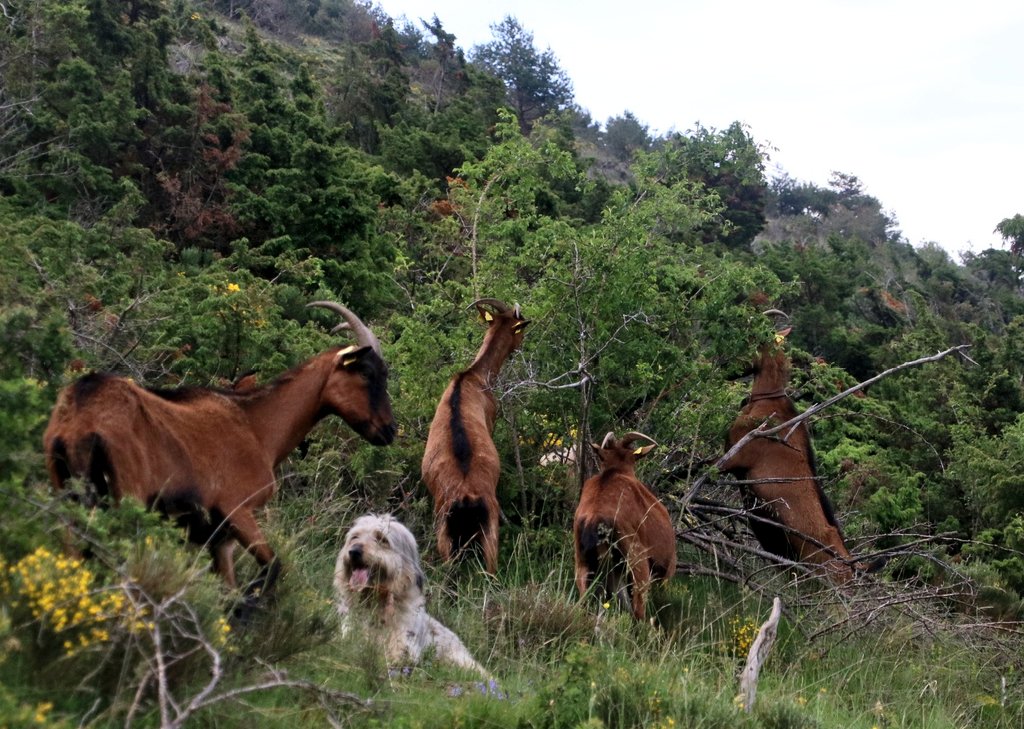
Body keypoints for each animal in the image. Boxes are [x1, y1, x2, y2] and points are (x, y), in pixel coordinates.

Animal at [43, 301, 396, 600]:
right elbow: (271, 568)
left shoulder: (218, 539)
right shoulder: (236, 510)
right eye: (366, 372)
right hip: (128, 496)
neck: (256, 426)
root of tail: (79, 419)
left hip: (67, 493)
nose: (389, 431)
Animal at [421, 298, 529, 574]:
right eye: (519, 327)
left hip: (448, 534)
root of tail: (467, 495)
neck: (472, 377)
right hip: (488, 527)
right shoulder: (491, 416)